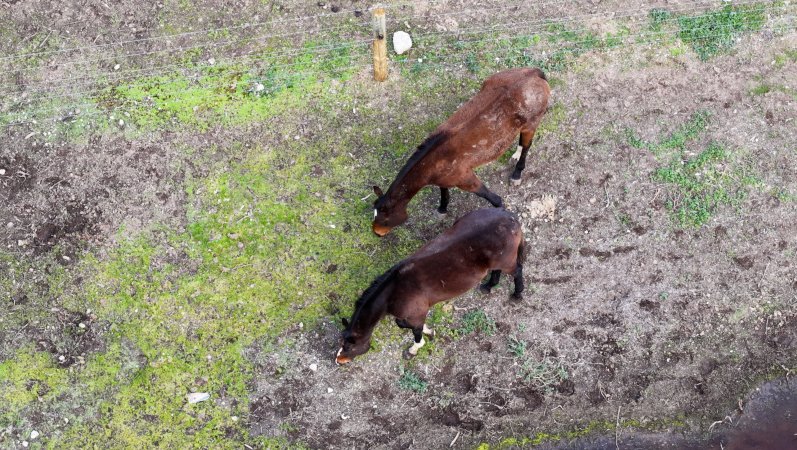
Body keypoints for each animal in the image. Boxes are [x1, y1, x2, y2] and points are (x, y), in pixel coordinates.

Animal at [336, 208, 526, 365]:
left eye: (349, 347)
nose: (338, 360)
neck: (395, 290)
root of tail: (510, 217)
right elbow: (404, 324)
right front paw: (429, 331)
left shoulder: (416, 314)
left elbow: (414, 331)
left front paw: (415, 348)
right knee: (496, 271)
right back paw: (489, 286)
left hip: (507, 261)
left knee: (517, 271)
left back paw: (517, 294)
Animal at [371, 67, 550, 236]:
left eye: (385, 218)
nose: (377, 233)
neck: (434, 160)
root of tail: (533, 73)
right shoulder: (443, 178)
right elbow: (444, 192)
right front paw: (442, 209)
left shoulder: (465, 179)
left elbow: (494, 199)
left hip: (531, 125)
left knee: (527, 146)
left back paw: (517, 173)